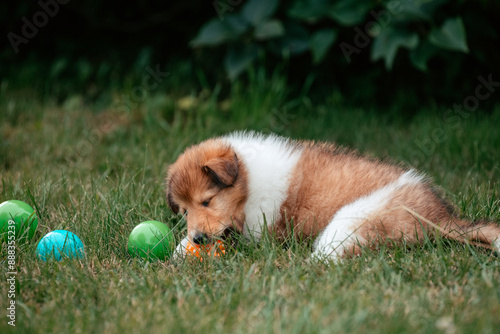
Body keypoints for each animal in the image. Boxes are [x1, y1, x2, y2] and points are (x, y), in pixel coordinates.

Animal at [165, 131, 500, 260]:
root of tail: (440, 217)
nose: (198, 238)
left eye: (207, 200)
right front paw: (180, 250)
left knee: (328, 257)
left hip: (351, 220)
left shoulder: (260, 228)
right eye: (184, 211)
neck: (248, 180)